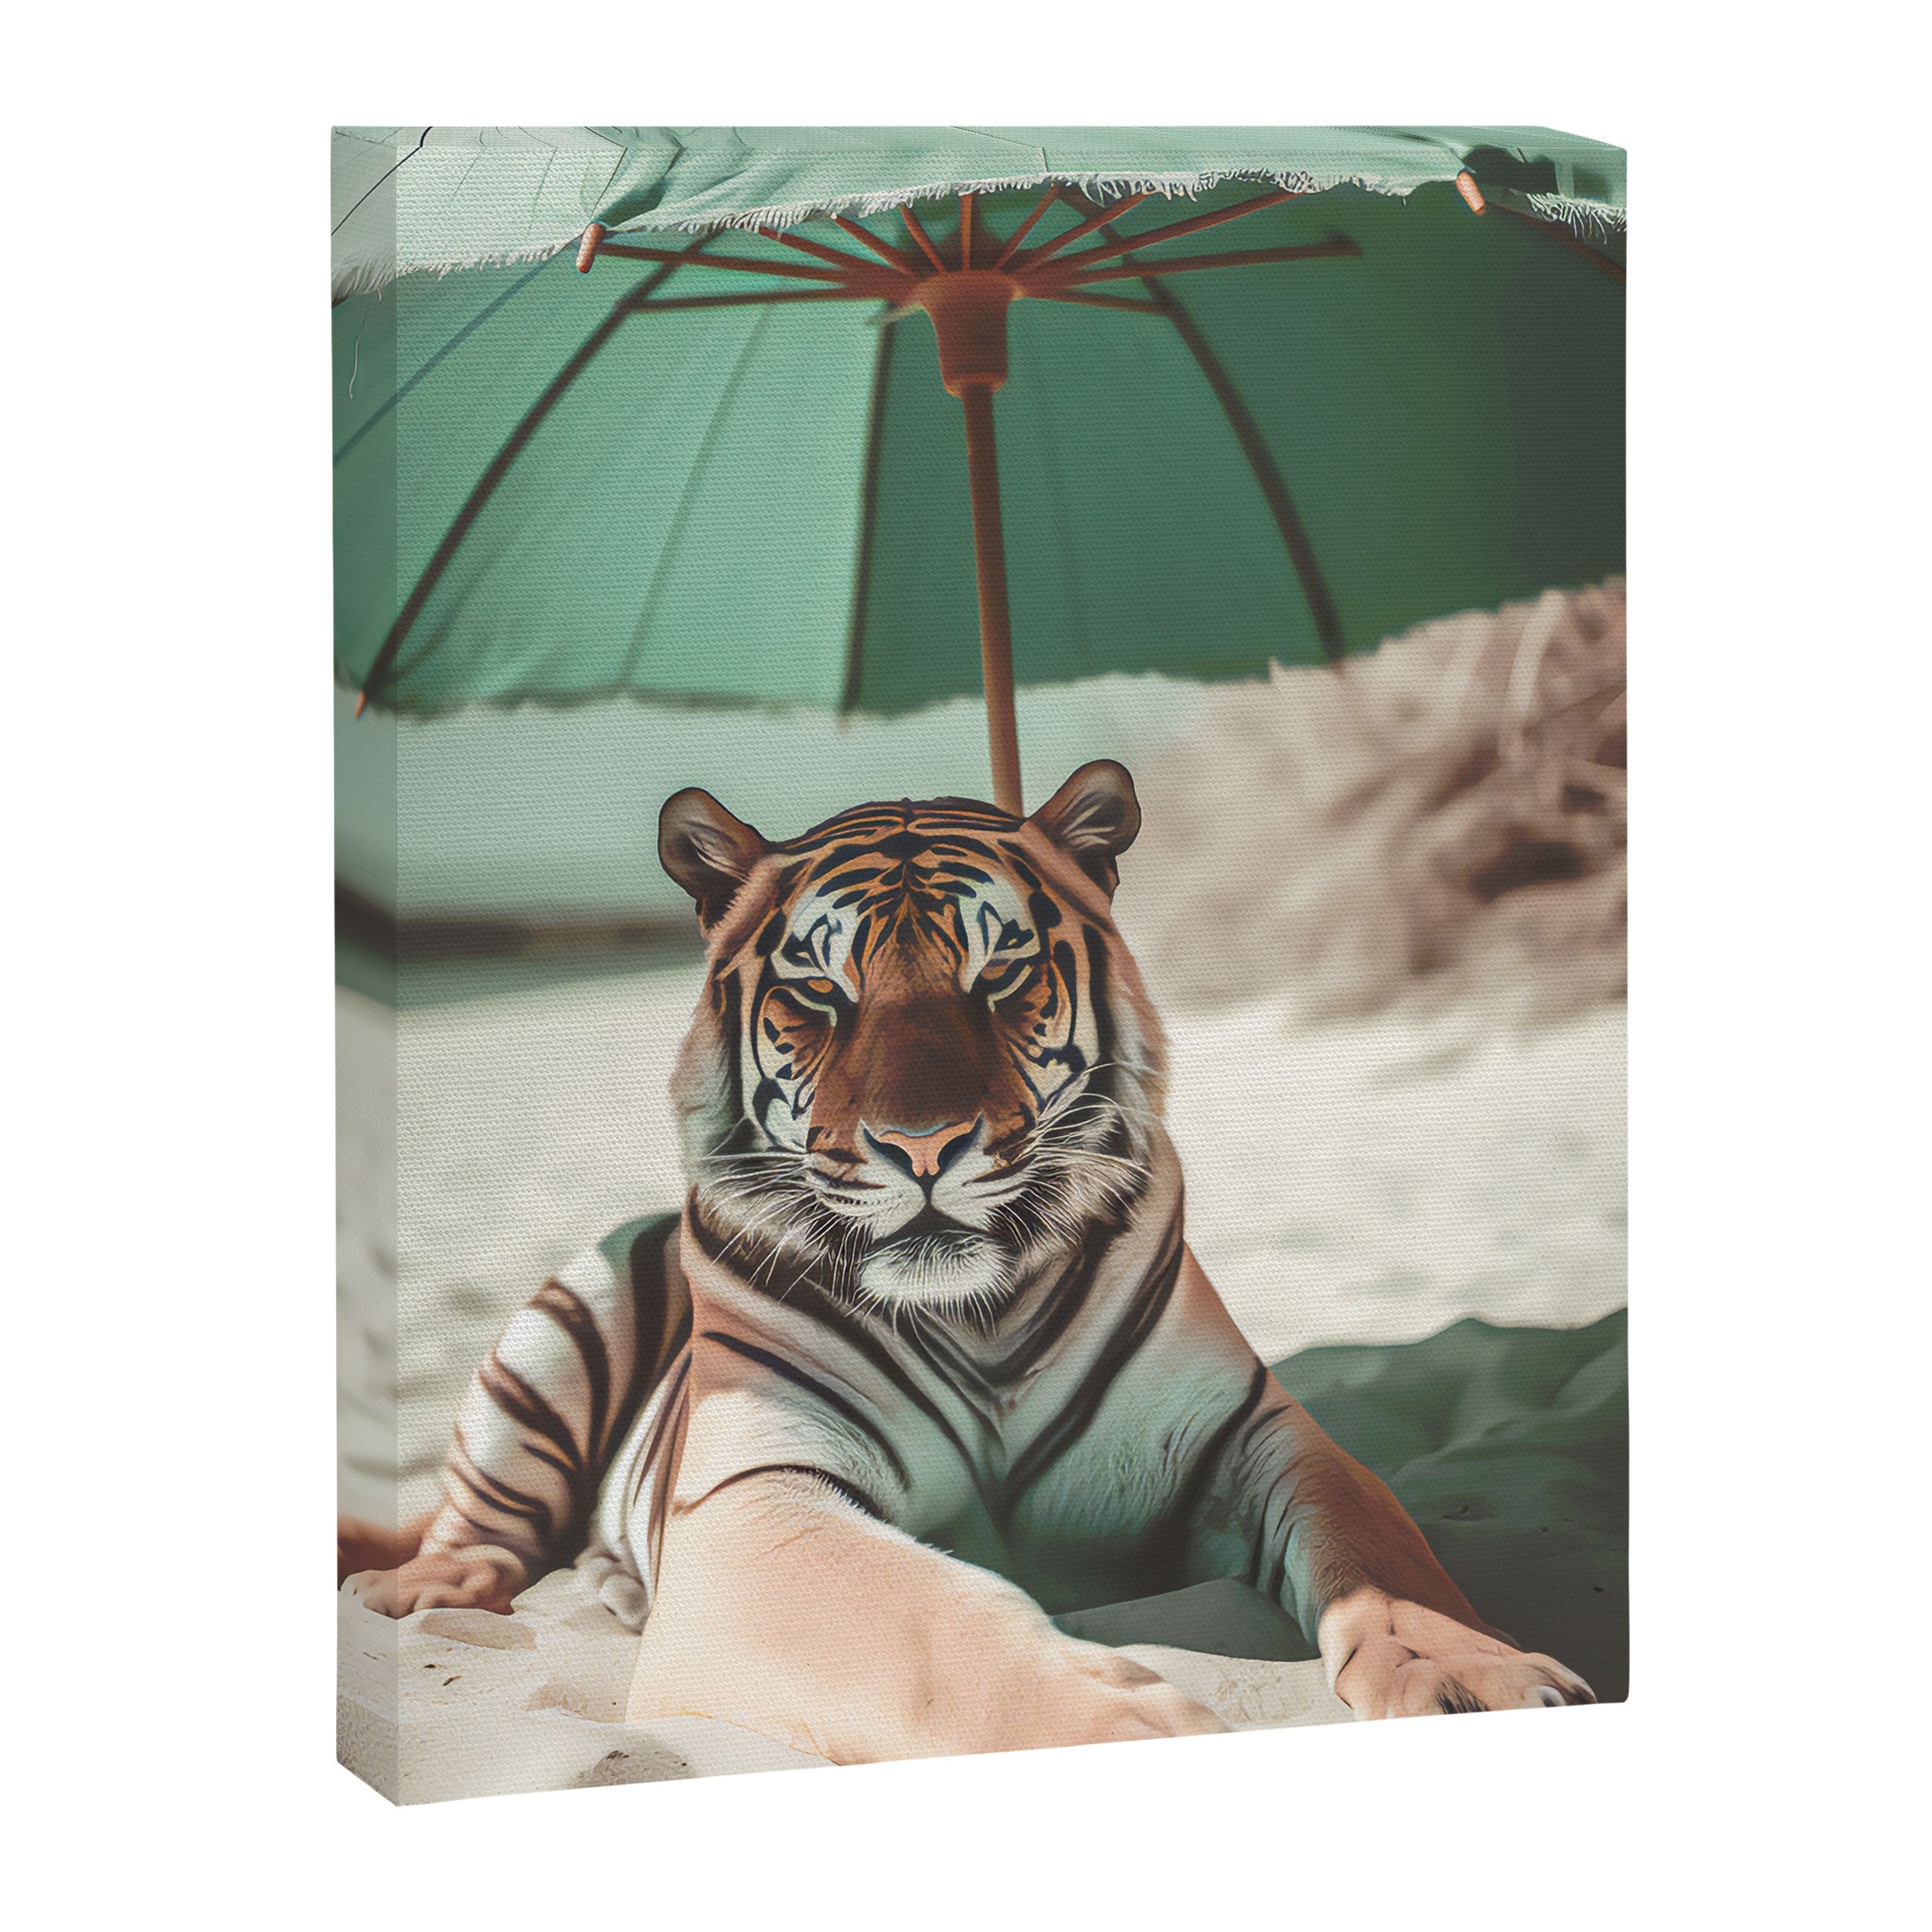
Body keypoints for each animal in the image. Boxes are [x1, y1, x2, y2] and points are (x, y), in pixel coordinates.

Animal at [343, 761, 1593, 1761]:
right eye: (820, 992)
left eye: (1000, 979)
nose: (923, 1145)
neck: (975, 1314)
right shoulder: (759, 1494)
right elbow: (925, 1630)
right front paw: (1127, 1732)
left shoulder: (1254, 1431)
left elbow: (1378, 1541)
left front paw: (1475, 1678)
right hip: (558, 1330)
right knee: (477, 1526)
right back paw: (424, 1587)